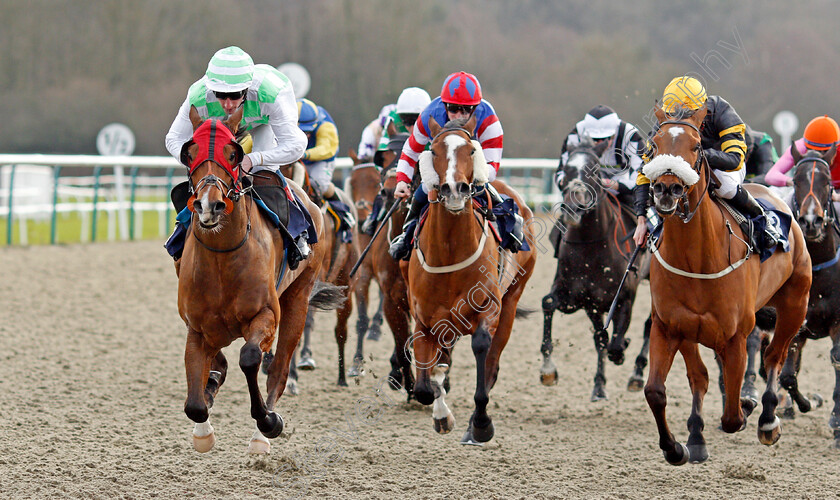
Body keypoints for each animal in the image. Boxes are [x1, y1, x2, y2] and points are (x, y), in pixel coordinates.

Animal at [176, 105, 340, 454]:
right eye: (189, 153)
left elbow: (251, 358)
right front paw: (203, 428)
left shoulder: (265, 314)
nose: (209, 205)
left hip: (298, 298)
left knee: (279, 369)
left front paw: (267, 420)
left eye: (234, 154)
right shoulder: (196, 326)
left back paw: (261, 435)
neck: (222, 257)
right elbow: (195, 402)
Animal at [404, 115, 536, 444]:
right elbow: (425, 385)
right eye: (434, 150)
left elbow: (481, 349)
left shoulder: (489, 308)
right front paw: (442, 415)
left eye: (472, 150)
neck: (449, 252)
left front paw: (481, 424)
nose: (454, 189)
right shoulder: (425, 319)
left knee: (493, 362)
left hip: (511, 301)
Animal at [644, 106, 812, 464]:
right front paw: (677, 446)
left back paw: (767, 419)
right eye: (654, 144)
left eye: (696, 146)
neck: (697, 258)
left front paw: (748, 408)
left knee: (774, 356)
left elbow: (733, 416)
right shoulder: (669, 326)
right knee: (704, 376)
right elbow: (659, 390)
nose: (666, 188)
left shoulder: (736, 336)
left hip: (795, 303)